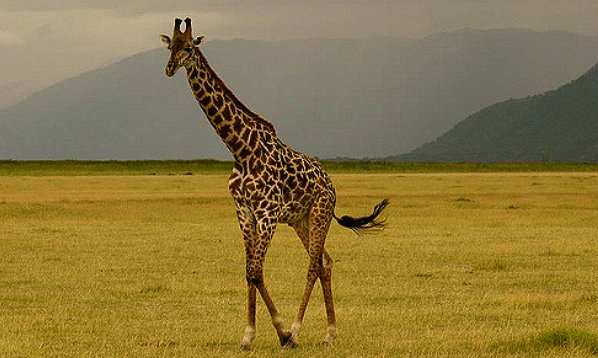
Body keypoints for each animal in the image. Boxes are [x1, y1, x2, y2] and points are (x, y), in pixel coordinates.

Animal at [162, 17, 392, 350]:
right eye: (170, 46)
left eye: (190, 47)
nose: (169, 68)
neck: (241, 150)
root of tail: (331, 184)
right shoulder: (244, 213)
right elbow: (249, 272)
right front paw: (248, 336)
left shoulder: (268, 215)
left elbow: (257, 272)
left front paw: (282, 332)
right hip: (300, 221)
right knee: (325, 262)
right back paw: (330, 332)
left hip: (320, 213)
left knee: (313, 266)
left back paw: (297, 330)